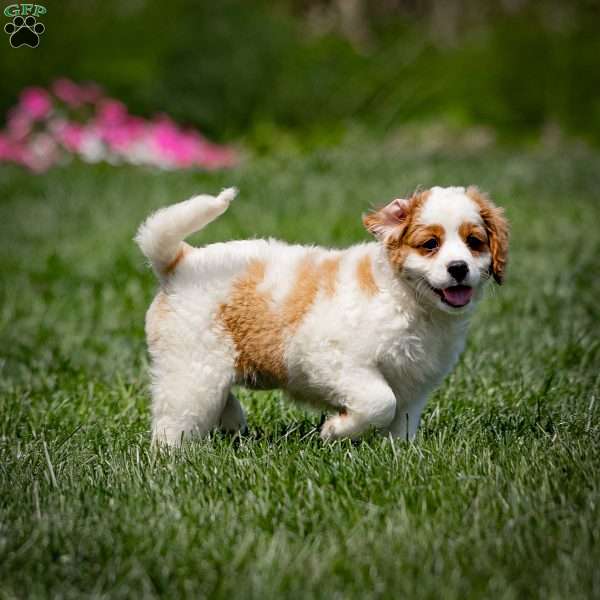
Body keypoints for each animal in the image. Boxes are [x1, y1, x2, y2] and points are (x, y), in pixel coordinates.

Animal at [136, 186, 506, 446]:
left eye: (474, 242)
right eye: (430, 244)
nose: (458, 268)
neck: (407, 301)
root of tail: (181, 261)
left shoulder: (417, 383)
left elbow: (401, 422)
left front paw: (396, 455)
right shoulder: (334, 359)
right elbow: (380, 401)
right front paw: (334, 431)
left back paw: (232, 421)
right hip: (191, 368)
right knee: (175, 419)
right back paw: (171, 458)